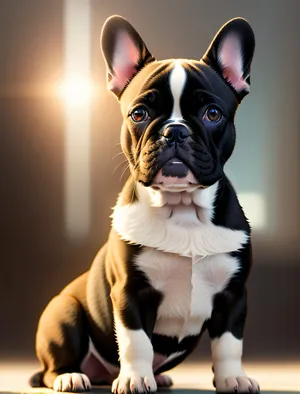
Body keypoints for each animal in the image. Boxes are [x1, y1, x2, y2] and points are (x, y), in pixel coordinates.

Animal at [30, 15, 258, 394]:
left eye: (212, 114)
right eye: (139, 114)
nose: (175, 131)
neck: (182, 209)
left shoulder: (233, 296)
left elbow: (229, 344)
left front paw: (232, 378)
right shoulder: (130, 293)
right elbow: (136, 341)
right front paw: (135, 379)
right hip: (64, 312)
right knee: (54, 366)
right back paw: (71, 376)